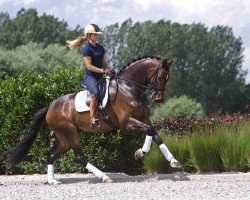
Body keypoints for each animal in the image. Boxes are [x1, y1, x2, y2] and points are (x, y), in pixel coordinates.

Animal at [2, 55, 181, 184]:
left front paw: (173, 160)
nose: (158, 99)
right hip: (70, 132)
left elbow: (155, 135)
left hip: (64, 137)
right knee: (79, 157)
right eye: (161, 76)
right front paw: (141, 152)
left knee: (51, 155)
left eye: (168, 77)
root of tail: (50, 107)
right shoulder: (126, 122)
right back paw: (104, 177)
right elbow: (149, 131)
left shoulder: (144, 118)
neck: (129, 88)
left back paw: (53, 181)